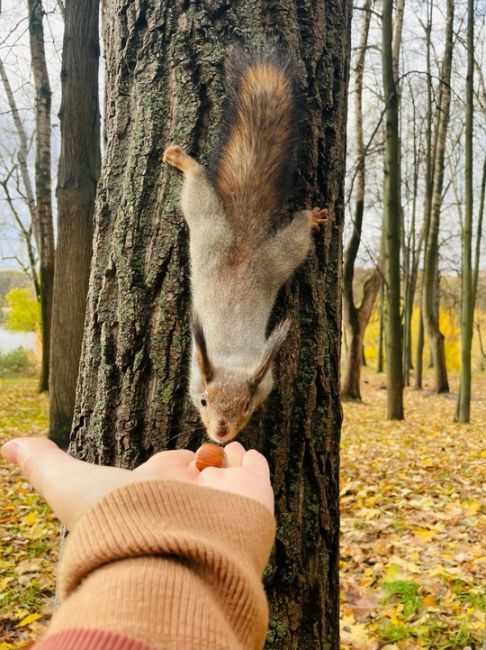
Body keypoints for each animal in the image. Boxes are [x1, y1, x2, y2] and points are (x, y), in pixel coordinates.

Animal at [163, 44, 326, 440]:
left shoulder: (265, 379)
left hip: (275, 256)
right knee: (198, 185)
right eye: (203, 400)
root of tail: (243, 236)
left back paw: (311, 218)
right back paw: (183, 160)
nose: (221, 434)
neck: (232, 361)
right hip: (209, 223)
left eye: (248, 406)